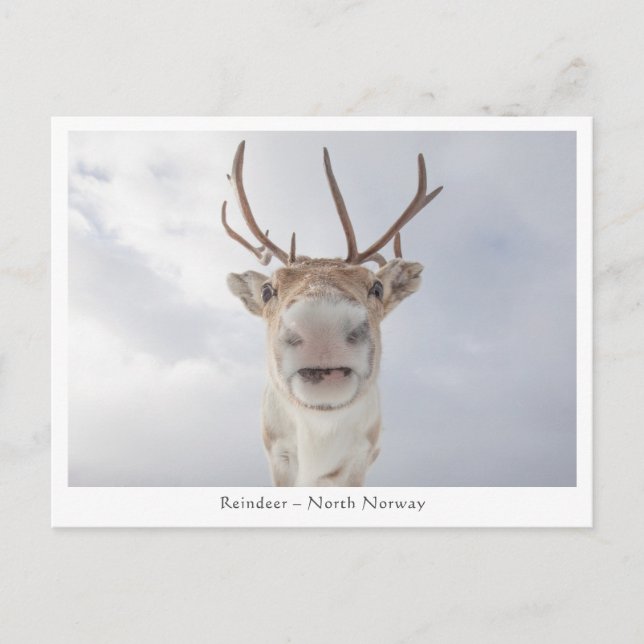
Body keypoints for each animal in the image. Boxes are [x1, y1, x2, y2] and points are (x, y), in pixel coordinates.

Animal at [222, 141, 442, 486]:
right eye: (268, 290)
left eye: (376, 287)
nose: (321, 328)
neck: (318, 440)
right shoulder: (277, 453)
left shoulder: (360, 457)